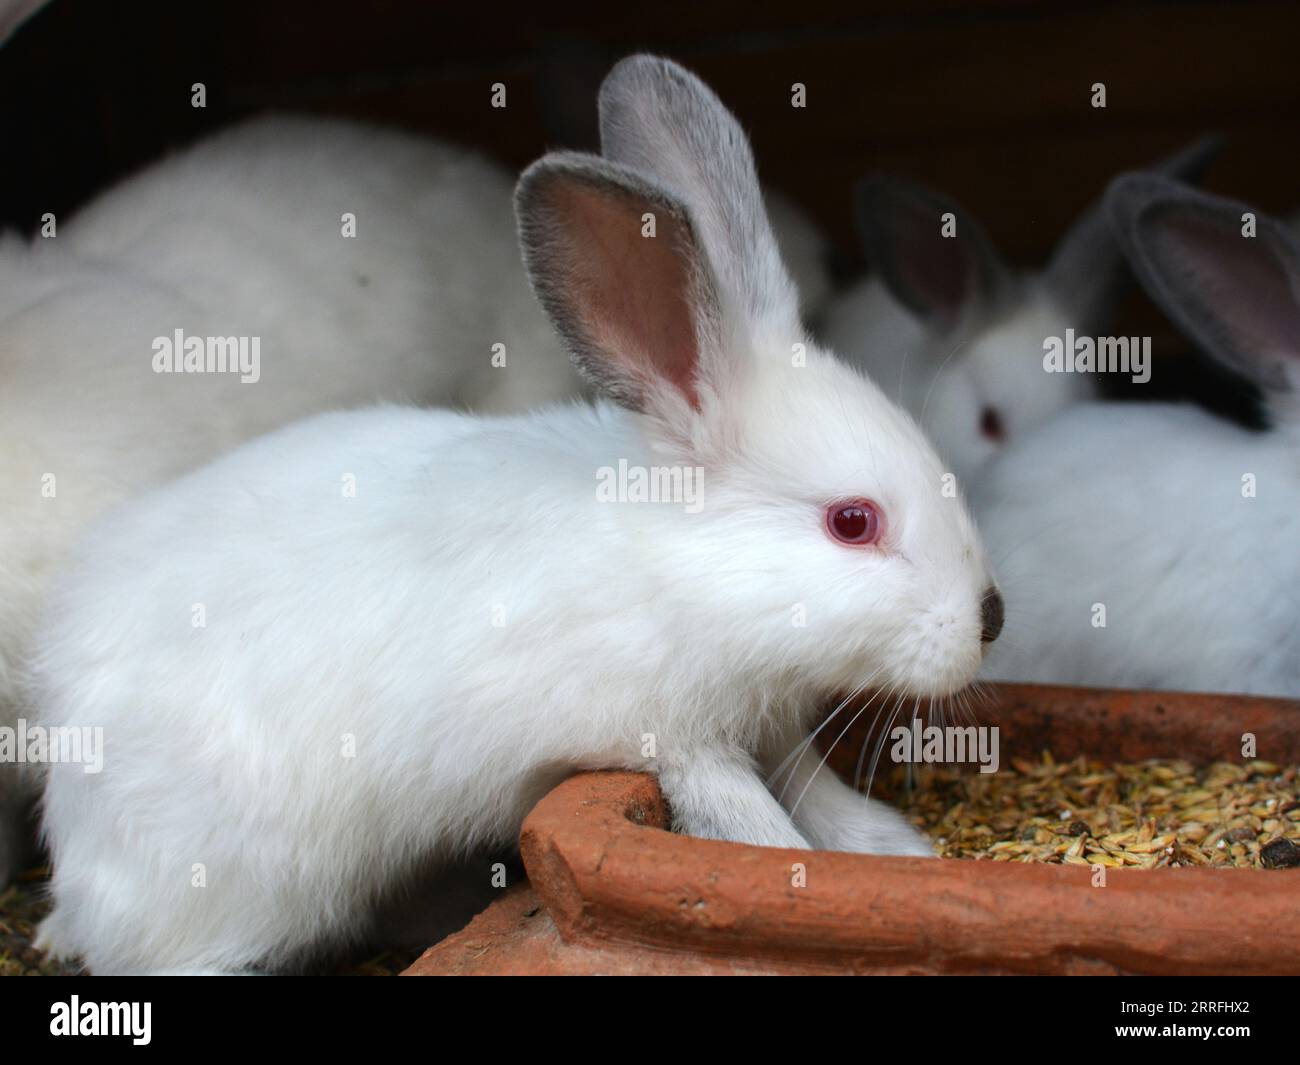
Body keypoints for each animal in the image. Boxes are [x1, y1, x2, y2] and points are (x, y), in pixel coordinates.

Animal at [32, 56, 1003, 972]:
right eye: (852, 522)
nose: (990, 617)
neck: (678, 563)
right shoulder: (675, 738)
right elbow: (744, 814)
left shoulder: (768, 722)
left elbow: (814, 785)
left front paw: (889, 849)